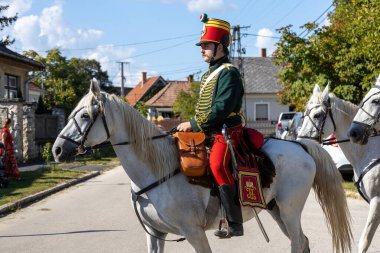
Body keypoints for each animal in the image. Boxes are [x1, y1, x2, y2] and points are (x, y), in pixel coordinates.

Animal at [296, 84, 380, 252]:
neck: (370, 151)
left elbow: (364, 241)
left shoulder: (377, 201)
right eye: (305, 114)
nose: (300, 141)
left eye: (317, 115)